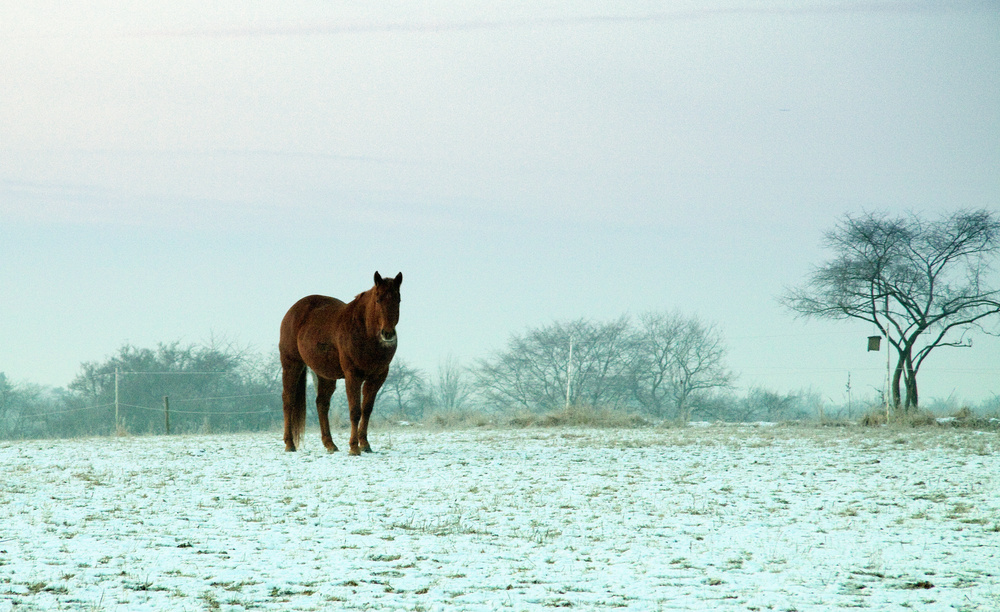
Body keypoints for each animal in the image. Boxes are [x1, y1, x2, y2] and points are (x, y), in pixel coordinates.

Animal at [278, 272, 402, 454]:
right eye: (378, 299)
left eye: (398, 299)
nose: (388, 334)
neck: (363, 331)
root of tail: (292, 312)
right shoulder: (353, 376)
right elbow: (355, 411)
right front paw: (354, 448)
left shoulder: (377, 377)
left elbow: (367, 410)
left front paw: (365, 444)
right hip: (291, 365)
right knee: (288, 401)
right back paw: (289, 444)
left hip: (325, 375)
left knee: (321, 404)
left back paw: (330, 444)